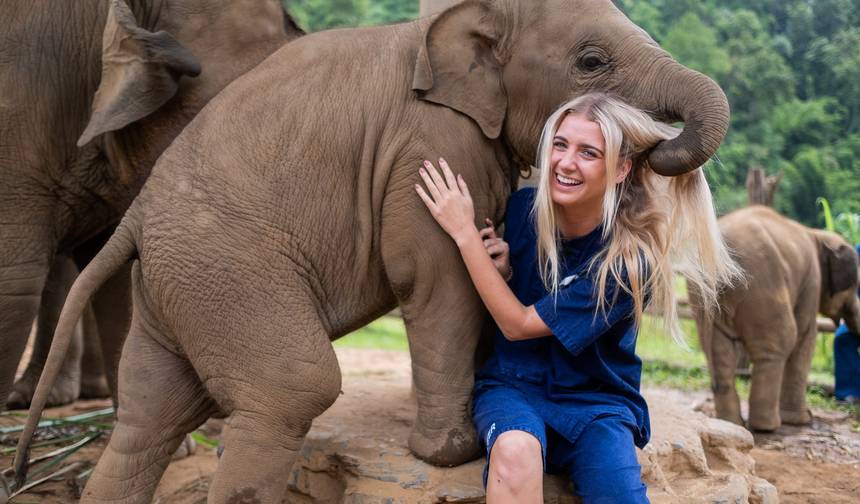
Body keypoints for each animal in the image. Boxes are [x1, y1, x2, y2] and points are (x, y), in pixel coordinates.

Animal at [691, 206, 860, 432]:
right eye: (855, 285)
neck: (817, 234)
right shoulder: (812, 281)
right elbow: (805, 336)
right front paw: (802, 420)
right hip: (762, 286)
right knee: (779, 342)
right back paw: (767, 426)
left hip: (703, 296)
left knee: (720, 353)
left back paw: (732, 423)